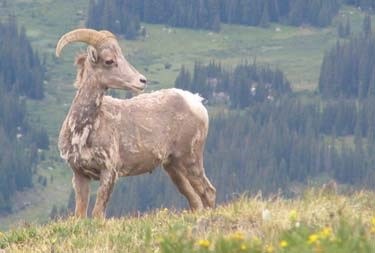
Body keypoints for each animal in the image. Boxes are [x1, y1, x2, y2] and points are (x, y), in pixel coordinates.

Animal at [54, 27, 216, 217]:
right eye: (109, 60)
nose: (142, 81)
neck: (82, 132)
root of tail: (196, 102)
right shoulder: (79, 175)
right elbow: (80, 214)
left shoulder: (109, 172)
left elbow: (98, 214)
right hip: (173, 167)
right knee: (195, 200)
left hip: (190, 159)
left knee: (208, 192)